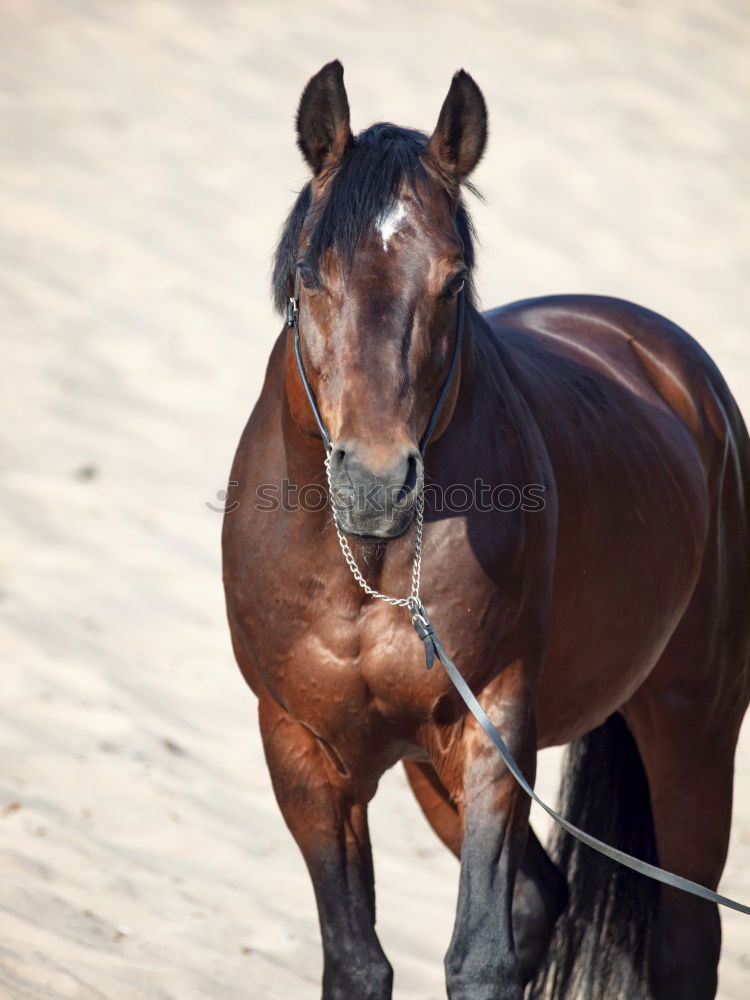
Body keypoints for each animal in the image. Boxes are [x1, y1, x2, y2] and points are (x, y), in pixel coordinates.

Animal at [223, 62, 750, 1000]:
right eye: (312, 274)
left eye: (454, 281)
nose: (376, 482)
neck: (369, 568)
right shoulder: (302, 748)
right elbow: (357, 961)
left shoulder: (491, 730)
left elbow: (479, 957)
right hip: (429, 771)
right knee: (543, 897)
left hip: (694, 734)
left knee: (686, 943)